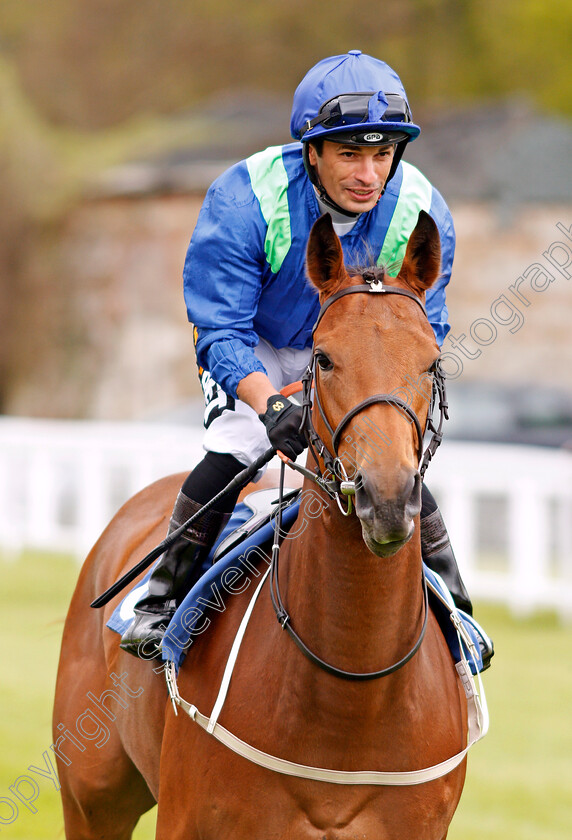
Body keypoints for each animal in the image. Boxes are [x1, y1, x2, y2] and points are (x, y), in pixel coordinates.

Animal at [53, 213, 474, 836]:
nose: (387, 498)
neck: (350, 699)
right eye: (324, 358)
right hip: (91, 799)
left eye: (431, 360)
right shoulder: (186, 817)